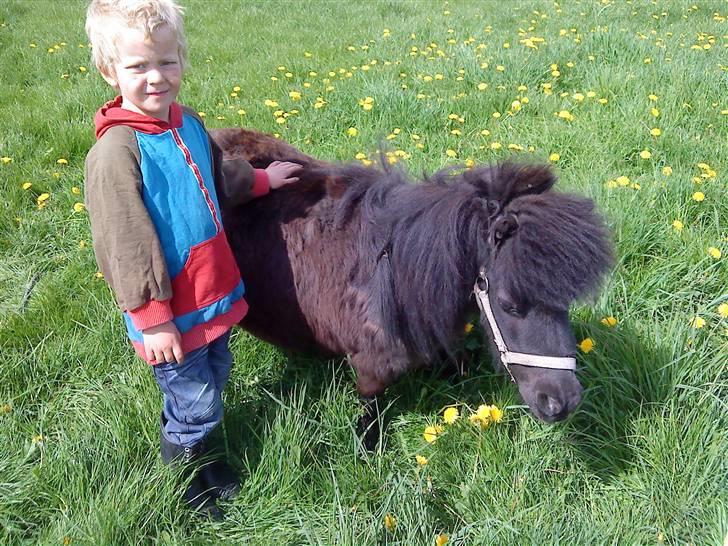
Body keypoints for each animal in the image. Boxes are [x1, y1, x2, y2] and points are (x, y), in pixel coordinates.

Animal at [211, 128, 614, 447]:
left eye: (565, 303)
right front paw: (367, 449)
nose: (562, 403)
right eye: (509, 304)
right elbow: (369, 414)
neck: (394, 272)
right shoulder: (370, 367)